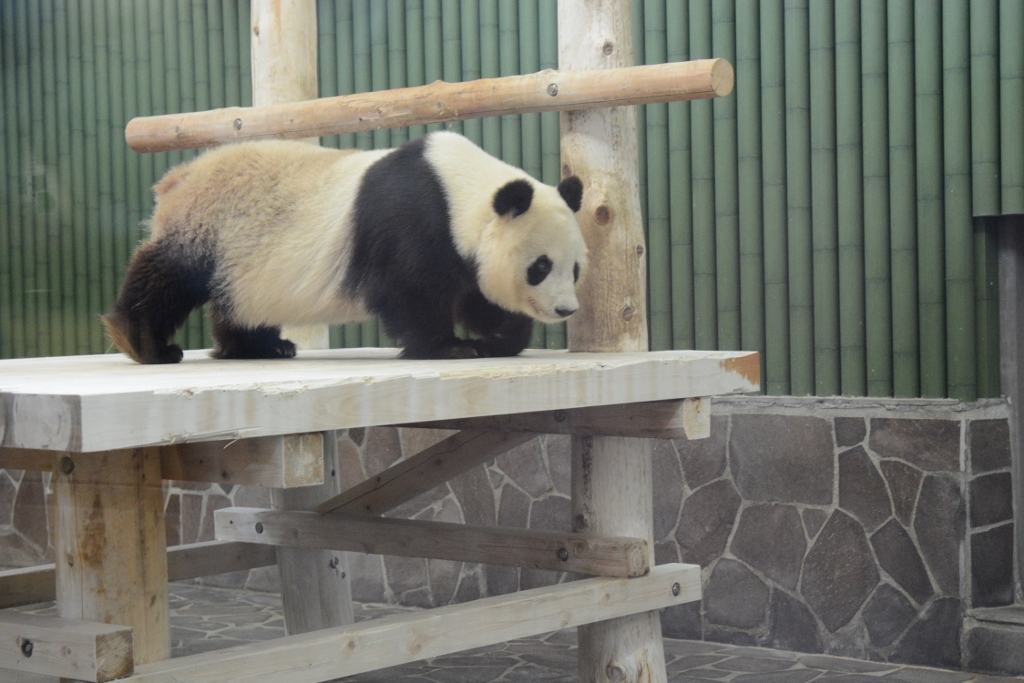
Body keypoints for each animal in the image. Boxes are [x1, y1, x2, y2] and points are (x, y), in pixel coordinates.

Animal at [105, 129, 585, 362]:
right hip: (209, 227)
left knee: (235, 304)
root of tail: (177, 178)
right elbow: (409, 290)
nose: (565, 310)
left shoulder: (460, 246)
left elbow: (475, 296)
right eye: (540, 267)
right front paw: (451, 347)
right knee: (166, 277)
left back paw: (261, 347)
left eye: (576, 269)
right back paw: (146, 344)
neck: (461, 189)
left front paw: (500, 339)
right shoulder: (414, 220)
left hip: (239, 262)